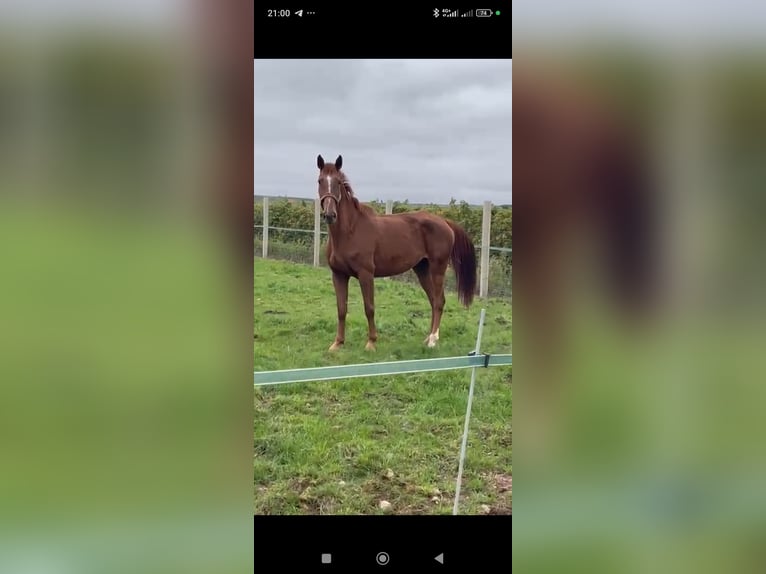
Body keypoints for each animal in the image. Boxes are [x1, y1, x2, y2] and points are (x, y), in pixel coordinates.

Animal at [316, 154, 478, 352]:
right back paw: (428, 338)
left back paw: (433, 340)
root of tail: (445, 222)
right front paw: (337, 344)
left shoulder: (365, 274)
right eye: (320, 181)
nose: (330, 215)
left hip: (437, 268)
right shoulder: (338, 275)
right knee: (433, 300)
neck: (350, 231)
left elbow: (369, 308)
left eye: (338, 182)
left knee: (439, 301)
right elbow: (341, 309)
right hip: (422, 269)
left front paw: (371, 342)